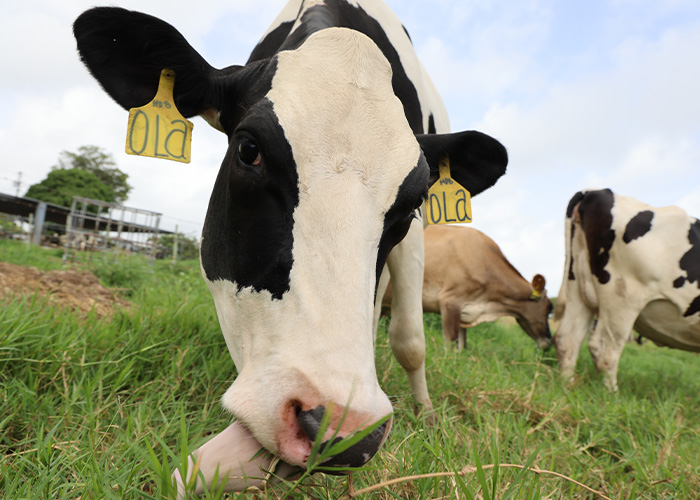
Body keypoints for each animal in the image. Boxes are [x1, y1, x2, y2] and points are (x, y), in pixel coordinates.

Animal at [73, 0, 507, 494]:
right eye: (248, 149)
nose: (343, 429)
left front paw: (427, 415)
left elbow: (410, 339)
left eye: (415, 201)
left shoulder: (415, 238)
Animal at [381, 225, 553, 350]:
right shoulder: (450, 300)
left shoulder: (465, 312)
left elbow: (462, 345)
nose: (549, 342)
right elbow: (450, 342)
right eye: (549, 308)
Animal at [554, 188, 700, 391]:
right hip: (623, 297)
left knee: (567, 339)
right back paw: (611, 394)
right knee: (604, 349)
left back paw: (567, 386)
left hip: (577, 286)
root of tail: (595, 192)